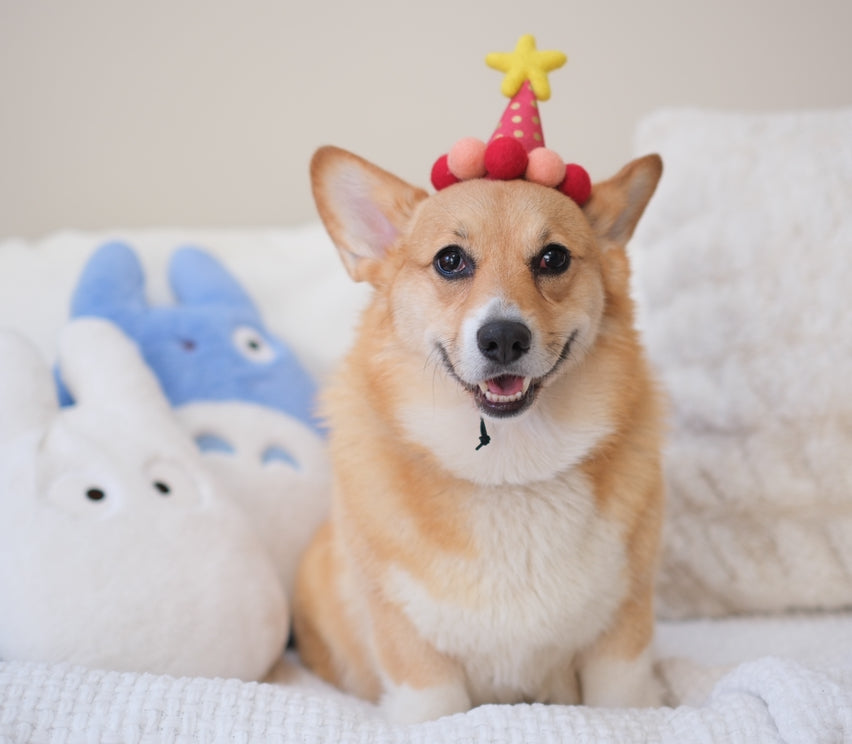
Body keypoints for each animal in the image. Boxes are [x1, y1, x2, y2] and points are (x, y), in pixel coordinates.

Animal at [292, 144, 664, 720]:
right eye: (451, 260)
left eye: (553, 258)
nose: (504, 337)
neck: (508, 473)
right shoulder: (411, 645)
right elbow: (434, 707)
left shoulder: (623, 630)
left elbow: (623, 701)